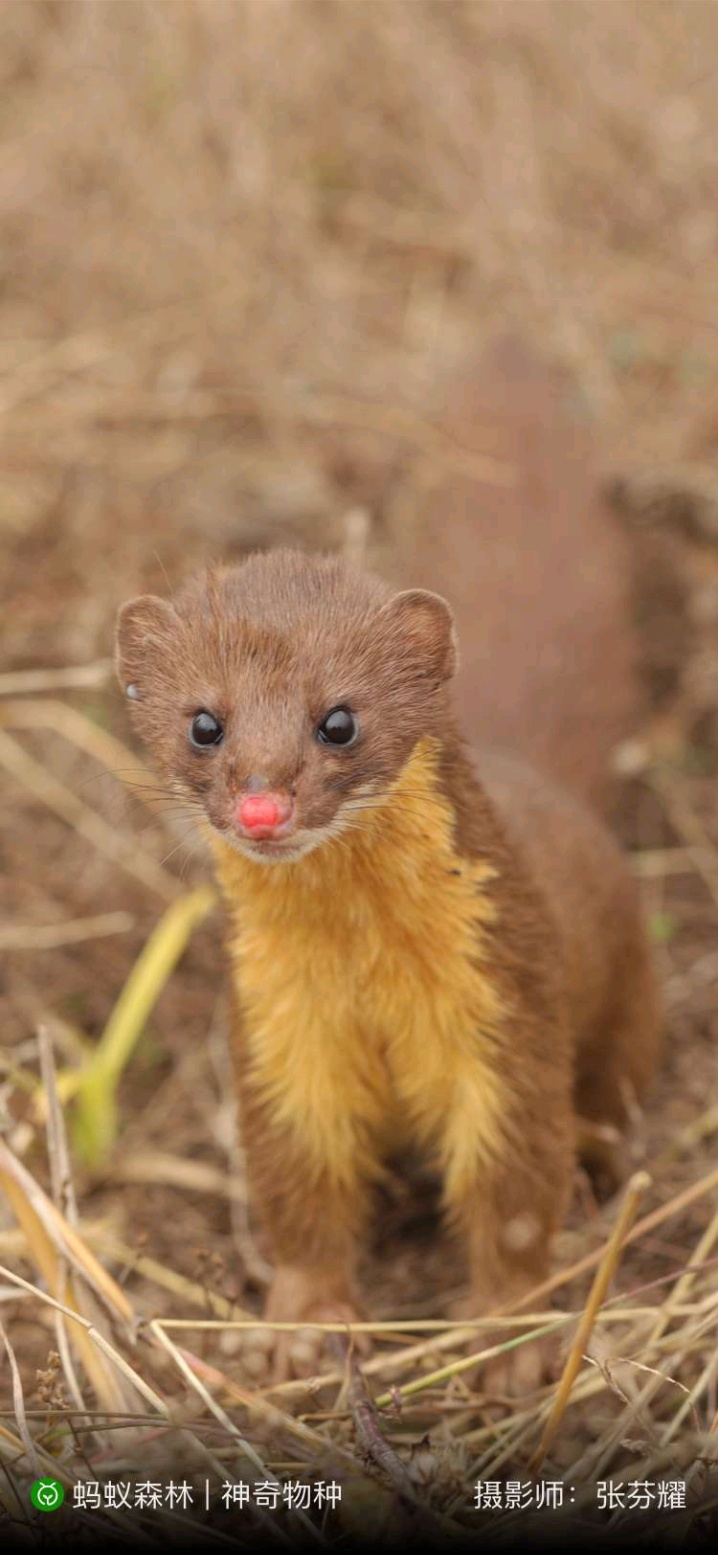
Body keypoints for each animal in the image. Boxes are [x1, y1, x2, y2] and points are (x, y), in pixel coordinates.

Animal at [115, 547, 658, 1387]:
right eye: (204, 723)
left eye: (339, 719)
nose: (262, 808)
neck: (365, 973)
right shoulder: (278, 1030)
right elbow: (296, 1179)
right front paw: (306, 1324)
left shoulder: (507, 1003)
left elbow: (515, 1185)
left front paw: (512, 1339)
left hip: (629, 995)